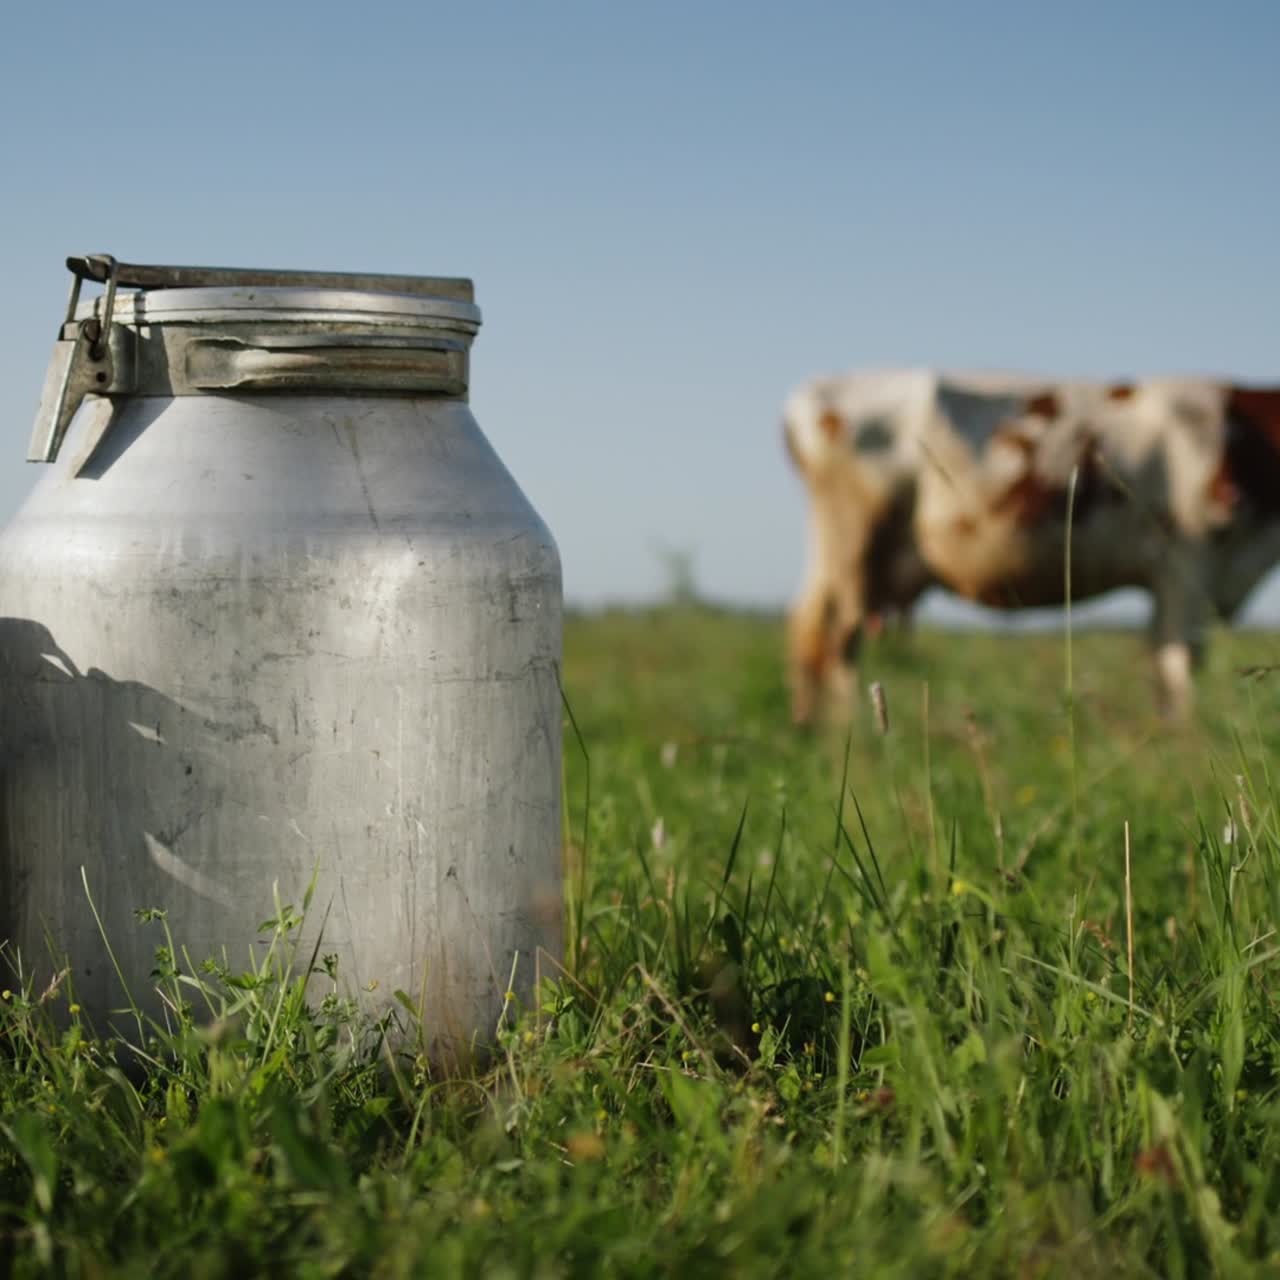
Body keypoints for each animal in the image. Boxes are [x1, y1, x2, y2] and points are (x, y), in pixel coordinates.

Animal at [783, 369, 1280, 723]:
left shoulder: (1174, 577)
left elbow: (1160, 662)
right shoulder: (1188, 562)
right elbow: (1181, 663)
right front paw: (1188, 745)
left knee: (809, 635)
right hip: (854, 550)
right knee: (834, 644)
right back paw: (852, 738)